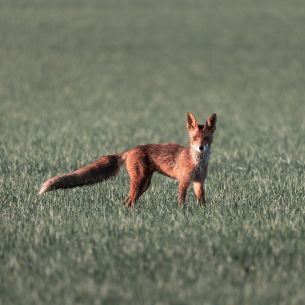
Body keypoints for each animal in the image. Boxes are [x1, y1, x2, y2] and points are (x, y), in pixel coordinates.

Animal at [38, 111, 216, 207]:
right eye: (194, 138)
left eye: (206, 138)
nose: (201, 147)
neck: (198, 162)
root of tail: (130, 150)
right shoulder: (183, 181)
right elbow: (181, 201)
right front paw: (182, 214)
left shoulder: (198, 181)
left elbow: (202, 201)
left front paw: (203, 214)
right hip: (140, 181)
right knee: (129, 201)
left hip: (144, 184)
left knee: (127, 201)